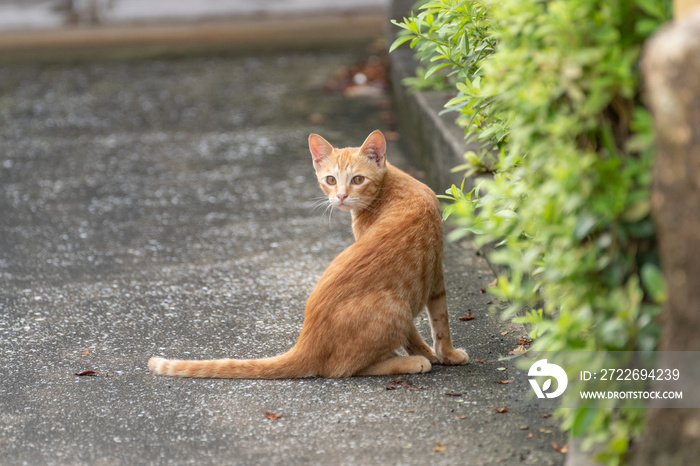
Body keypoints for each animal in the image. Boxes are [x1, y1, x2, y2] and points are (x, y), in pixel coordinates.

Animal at [148, 130, 468, 378]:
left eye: (357, 179)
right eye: (330, 179)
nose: (341, 196)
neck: (395, 184)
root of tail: (306, 342)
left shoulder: (435, 276)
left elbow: (439, 321)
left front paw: (445, 354)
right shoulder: (433, 277)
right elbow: (434, 324)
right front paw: (436, 354)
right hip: (396, 308)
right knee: (342, 369)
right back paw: (410, 361)